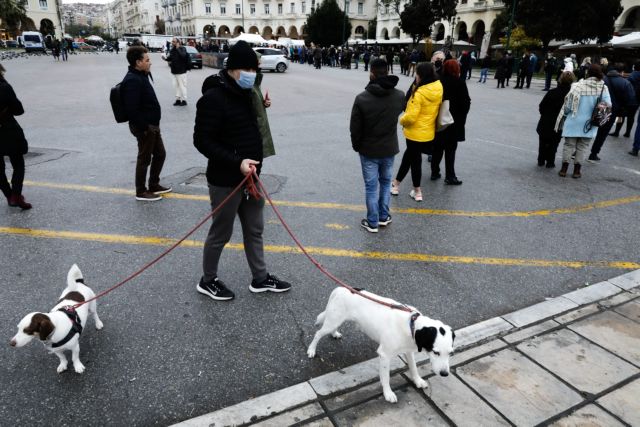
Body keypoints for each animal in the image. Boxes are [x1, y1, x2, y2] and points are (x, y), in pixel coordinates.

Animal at [306, 288, 452, 404]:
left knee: (332, 329)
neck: (411, 324)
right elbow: (386, 377)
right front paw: (388, 393)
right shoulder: (384, 355)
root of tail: (341, 289)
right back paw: (311, 350)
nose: (445, 374)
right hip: (332, 320)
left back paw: (335, 334)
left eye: (450, 353)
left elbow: (413, 367)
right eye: (436, 352)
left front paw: (418, 381)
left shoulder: (409, 351)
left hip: (336, 320)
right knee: (318, 334)